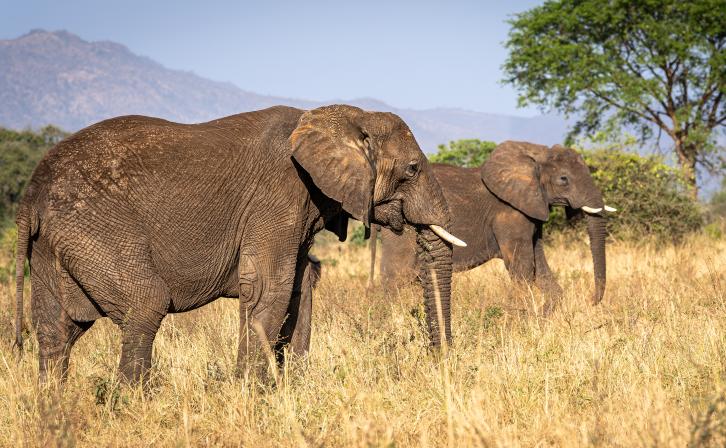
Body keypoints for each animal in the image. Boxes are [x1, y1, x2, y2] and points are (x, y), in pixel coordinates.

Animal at [14, 104, 466, 384]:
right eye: (412, 169)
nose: (439, 363)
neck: (342, 115)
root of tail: (31, 194)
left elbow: (302, 281)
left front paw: (288, 383)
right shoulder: (278, 197)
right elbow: (270, 288)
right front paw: (253, 391)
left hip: (54, 243)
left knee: (57, 329)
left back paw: (52, 408)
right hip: (95, 228)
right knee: (144, 305)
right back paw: (131, 404)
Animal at [370, 141, 614, 314]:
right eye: (564, 179)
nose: (591, 300)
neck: (536, 153)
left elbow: (540, 269)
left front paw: (541, 318)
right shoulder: (510, 214)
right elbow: (522, 271)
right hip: (401, 229)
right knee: (397, 276)